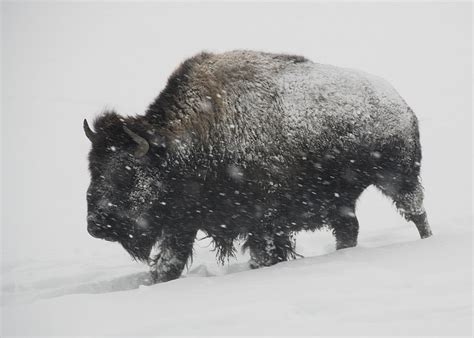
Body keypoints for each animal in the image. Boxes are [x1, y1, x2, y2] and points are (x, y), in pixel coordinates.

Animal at [83, 50, 432, 282]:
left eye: (125, 172)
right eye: (93, 168)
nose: (96, 225)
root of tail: (400, 102)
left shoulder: (262, 221)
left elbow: (263, 254)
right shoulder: (183, 220)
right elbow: (170, 262)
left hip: (397, 178)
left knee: (416, 213)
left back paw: (427, 242)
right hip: (343, 200)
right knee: (349, 228)